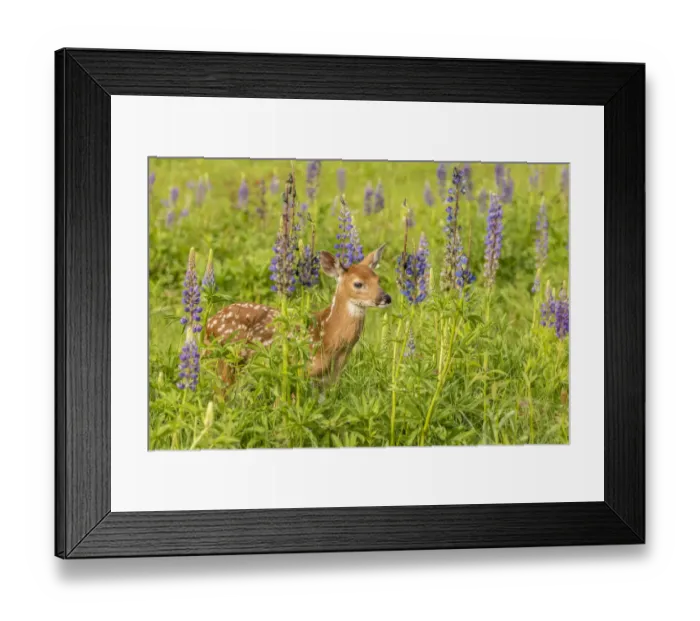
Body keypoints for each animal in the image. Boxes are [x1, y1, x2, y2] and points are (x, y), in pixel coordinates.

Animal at [204, 244, 391, 387]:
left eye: (378, 280)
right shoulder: (300, 371)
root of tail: (209, 324)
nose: (386, 298)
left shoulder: (329, 379)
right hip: (224, 358)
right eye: (358, 284)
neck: (328, 335)